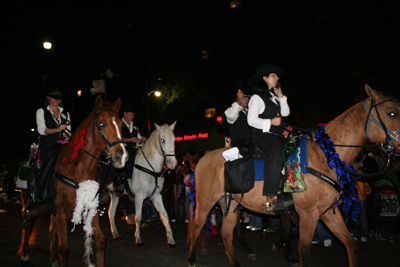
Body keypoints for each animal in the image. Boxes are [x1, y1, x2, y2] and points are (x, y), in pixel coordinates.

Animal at [18, 97, 128, 267]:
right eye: (102, 124)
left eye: (121, 125)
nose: (121, 157)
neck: (77, 170)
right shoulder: (62, 213)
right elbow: (64, 248)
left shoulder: (90, 208)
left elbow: (101, 241)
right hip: (27, 205)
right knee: (26, 225)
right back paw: (25, 255)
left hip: (53, 212)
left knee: (52, 231)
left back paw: (53, 260)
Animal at [188, 86, 400, 267]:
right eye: (392, 113)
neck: (323, 156)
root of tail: (204, 158)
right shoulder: (308, 214)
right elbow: (303, 250)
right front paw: (283, 249)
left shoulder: (327, 212)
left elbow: (351, 245)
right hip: (206, 201)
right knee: (197, 226)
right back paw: (191, 259)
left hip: (231, 204)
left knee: (226, 234)